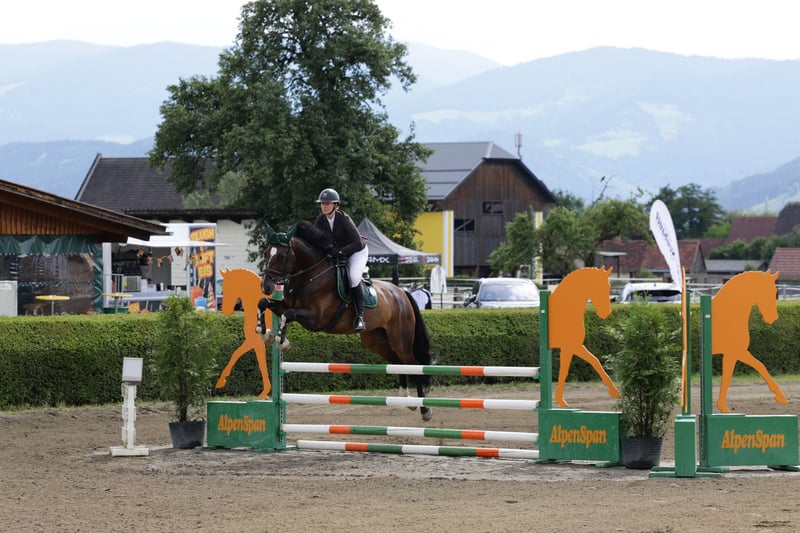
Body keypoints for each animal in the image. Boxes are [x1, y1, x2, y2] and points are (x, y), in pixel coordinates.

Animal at [215, 268, 273, 399]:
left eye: (227, 287)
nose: (224, 309)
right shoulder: (251, 342)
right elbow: (235, 354)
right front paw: (221, 381)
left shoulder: (257, 343)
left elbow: (262, 365)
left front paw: (265, 392)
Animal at [261, 220, 434, 421]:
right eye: (266, 253)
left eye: (281, 256)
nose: (266, 287)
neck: (310, 275)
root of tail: (401, 292)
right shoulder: (285, 305)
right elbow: (264, 303)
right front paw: (265, 333)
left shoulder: (315, 318)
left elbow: (287, 315)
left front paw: (282, 341)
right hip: (376, 340)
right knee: (398, 362)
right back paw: (405, 398)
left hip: (400, 338)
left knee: (414, 365)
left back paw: (424, 409)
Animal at [548, 266, 619, 407]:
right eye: (599, 287)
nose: (606, 313)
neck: (567, 308)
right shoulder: (569, 347)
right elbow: (564, 371)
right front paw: (561, 401)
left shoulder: (576, 346)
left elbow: (595, 361)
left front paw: (614, 391)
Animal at [712, 270, 787, 413]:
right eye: (767, 291)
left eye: (775, 291)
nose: (773, 318)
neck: (729, 313)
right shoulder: (732, 354)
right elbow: (726, 378)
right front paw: (723, 407)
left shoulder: (740, 352)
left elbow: (760, 366)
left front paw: (780, 397)